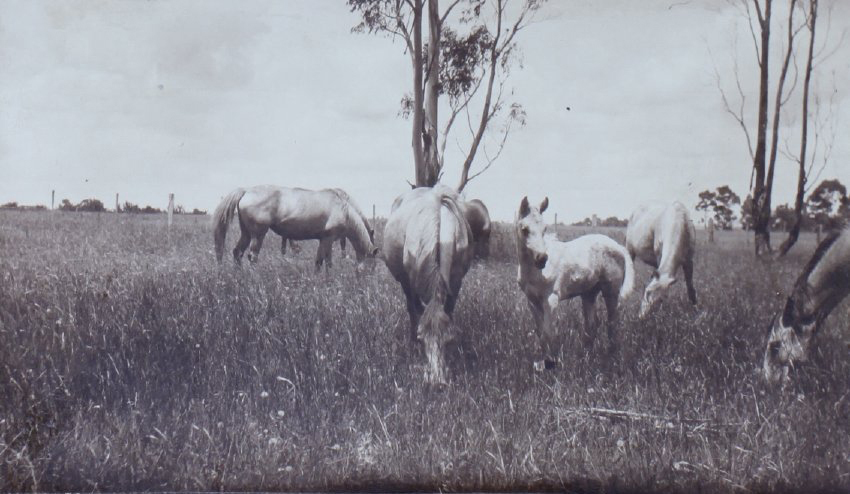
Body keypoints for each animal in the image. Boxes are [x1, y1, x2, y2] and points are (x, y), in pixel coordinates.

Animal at [212, 185, 377, 270]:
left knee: (237, 252)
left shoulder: (324, 240)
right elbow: (324, 262)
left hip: (246, 233)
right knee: (252, 256)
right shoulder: (328, 239)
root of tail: (246, 191)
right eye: (372, 266)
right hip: (258, 234)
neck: (343, 208)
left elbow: (322, 262)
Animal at [382, 185, 474, 386]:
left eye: (448, 340)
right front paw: (414, 343)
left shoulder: (456, 281)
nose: (437, 382)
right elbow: (415, 310)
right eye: (422, 338)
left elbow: (448, 312)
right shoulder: (410, 281)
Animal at [516, 197, 635, 369]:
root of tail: (618, 246)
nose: (542, 259)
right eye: (524, 229)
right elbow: (540, 333)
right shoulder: (532, 301)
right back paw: (586, 357)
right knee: (592, 324)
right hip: (589, 293)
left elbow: (549, 333)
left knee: (612, 322)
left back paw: (611, 357)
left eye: (544, 229)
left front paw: (552, 363)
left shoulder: (550, 299)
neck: (533, 271)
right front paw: (543, 363)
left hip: (611, 291)